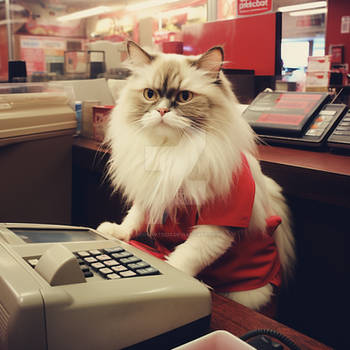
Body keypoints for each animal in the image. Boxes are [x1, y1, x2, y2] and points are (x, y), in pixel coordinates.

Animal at [96, 41, 296, 312]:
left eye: (184, 97)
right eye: (149, 94)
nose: (161, 110)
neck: (170, 150)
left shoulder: (216, 226)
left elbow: (183, 259)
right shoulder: (153, 193)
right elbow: (133, 219)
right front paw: (116, 233)